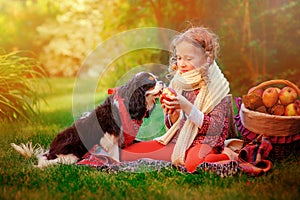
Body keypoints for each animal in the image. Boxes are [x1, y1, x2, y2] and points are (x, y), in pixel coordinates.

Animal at [11, 72, 164, 167]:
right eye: (151, 82)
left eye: (157, 79)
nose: (162, 82)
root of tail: (51, 150)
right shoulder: (110, 138)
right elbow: (114, 155)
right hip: (70, 155)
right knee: (49, 162)